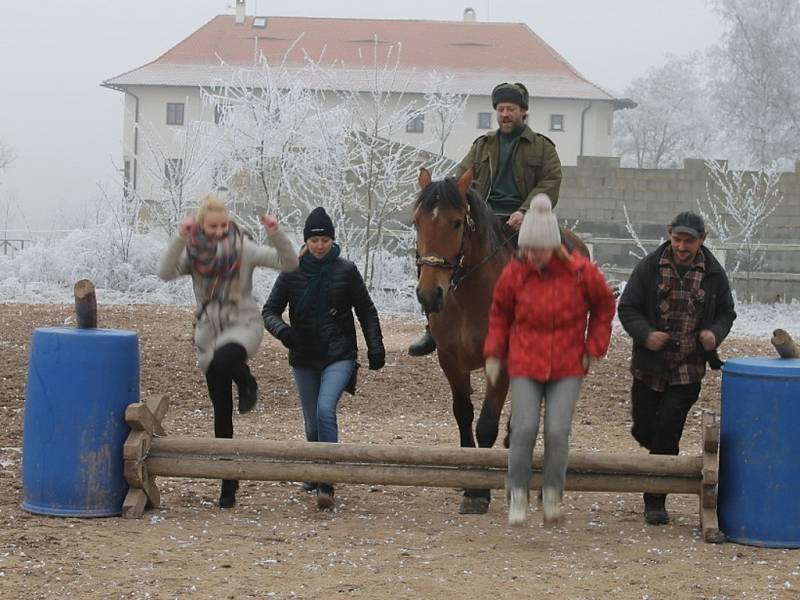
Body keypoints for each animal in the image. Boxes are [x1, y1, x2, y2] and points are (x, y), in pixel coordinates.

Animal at [412, 166, 588, 512]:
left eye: (456, 222)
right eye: (417, 221)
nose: (429, 295)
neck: (470, 296)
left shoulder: (501, 362)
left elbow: (486, 423)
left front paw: (480, 491)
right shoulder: (450, 360)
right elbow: (463, 414)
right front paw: (468, 481)